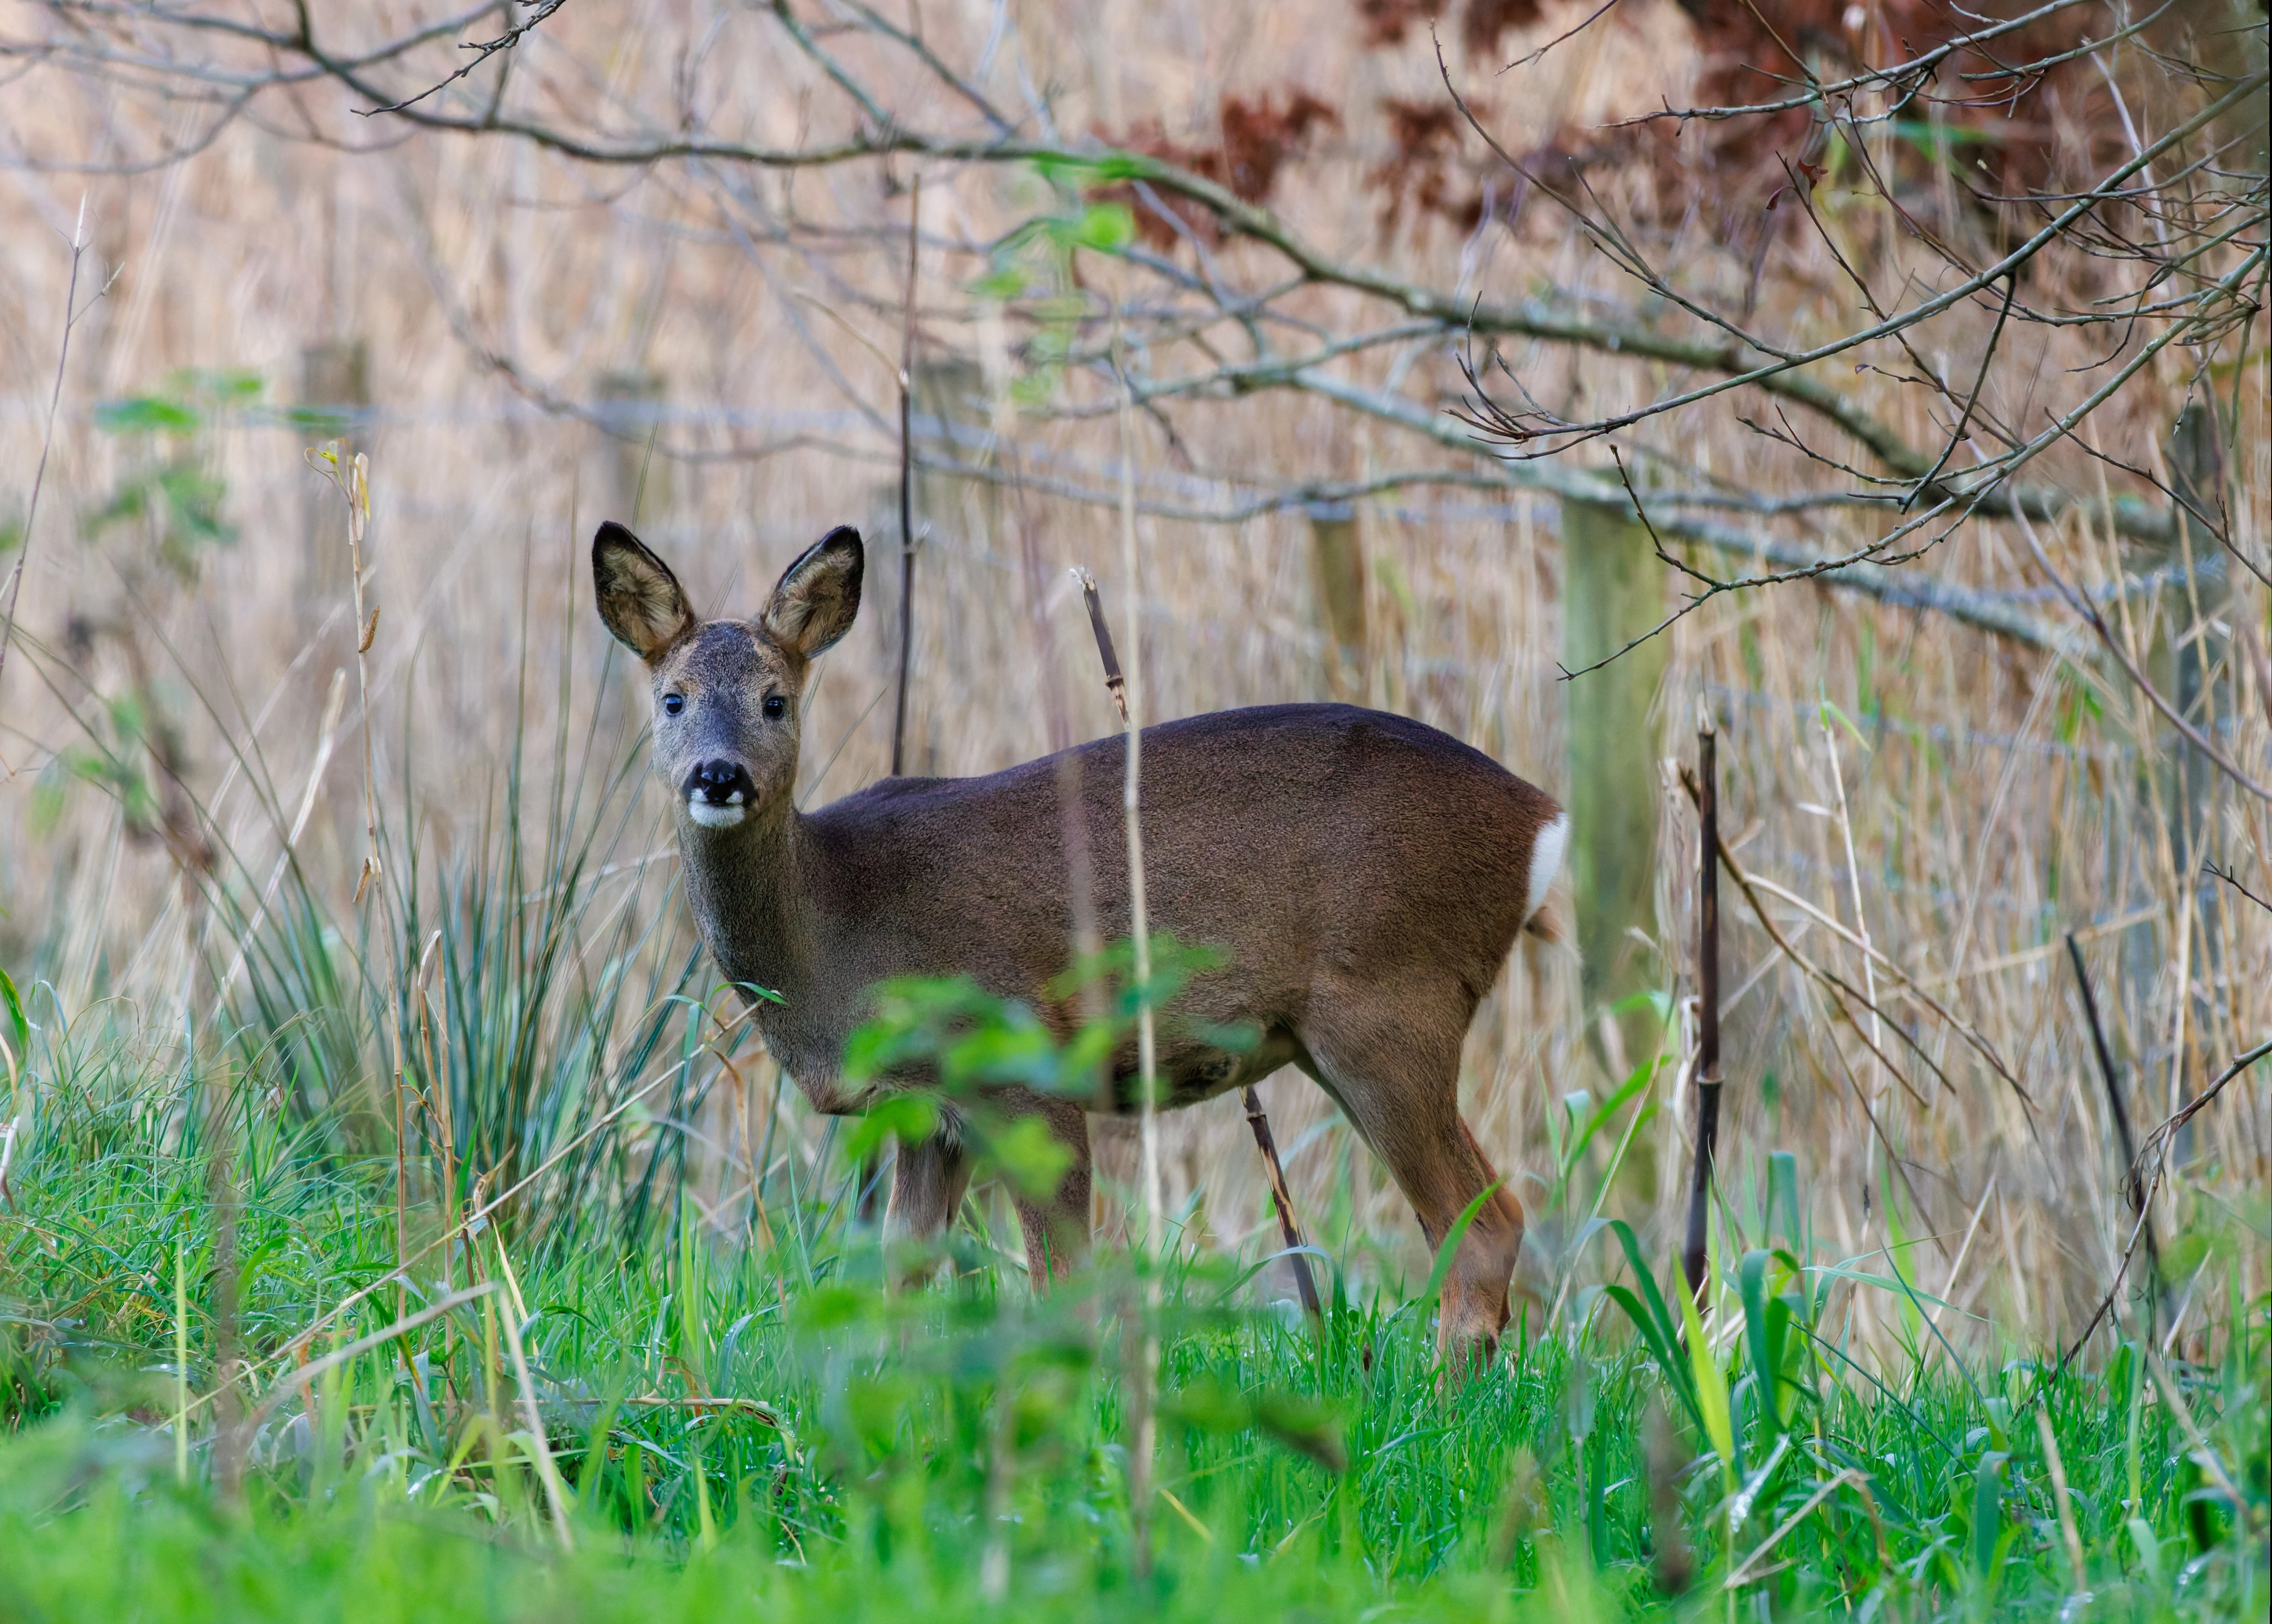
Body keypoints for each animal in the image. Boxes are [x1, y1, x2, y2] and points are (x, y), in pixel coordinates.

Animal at [593, 520, 1569, 1369]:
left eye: (776, 701)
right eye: (672, 699)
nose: (719, 775)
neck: (838, 922)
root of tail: (1542, 819)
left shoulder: (1024, 1063)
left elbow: (1060, 1282)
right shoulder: (930, 1111)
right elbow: (902, 1282)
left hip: (1391, 1003)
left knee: (1481, 1227)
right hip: (1340, 1034)